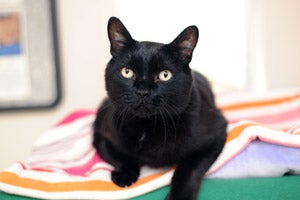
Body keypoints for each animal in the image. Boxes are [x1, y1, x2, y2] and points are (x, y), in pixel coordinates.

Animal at [92, 17, 226, 200]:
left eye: (165, 75)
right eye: (127, 72)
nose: (143, 91)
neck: (147, 126)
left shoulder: (215, 135)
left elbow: (188, 169)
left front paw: (179, 197)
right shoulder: (104, 136)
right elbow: (122, 157)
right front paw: (125, 175)